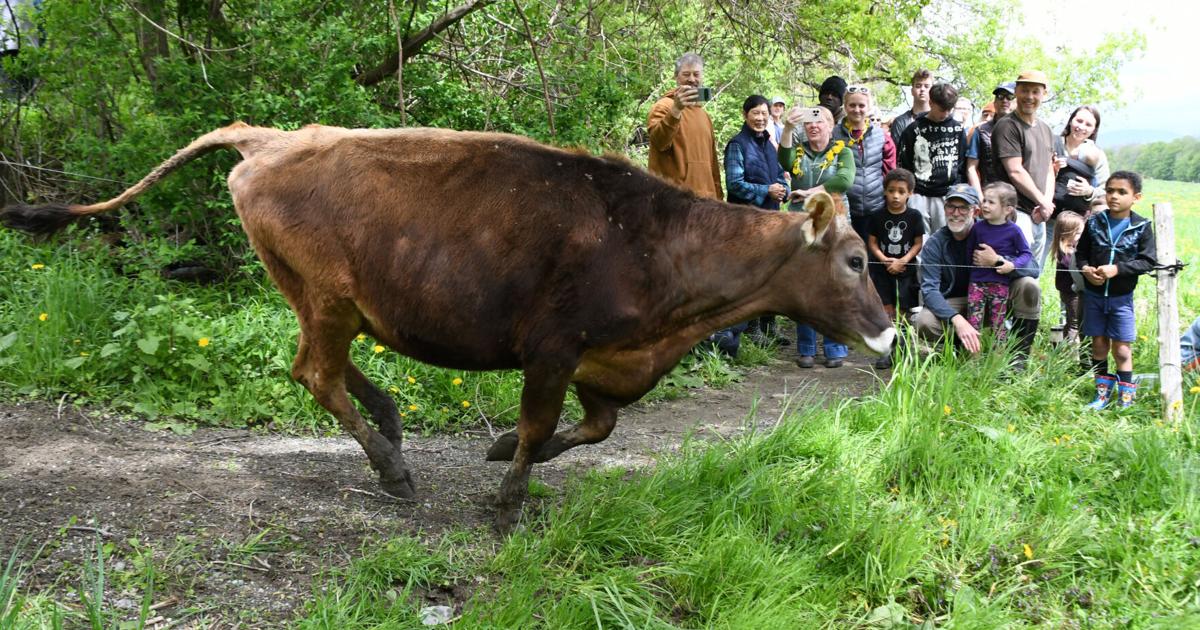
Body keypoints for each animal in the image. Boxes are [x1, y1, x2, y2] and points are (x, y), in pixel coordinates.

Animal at [1, 123, 895, 532]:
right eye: (856, 259)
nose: (889, 338)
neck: (650, 241)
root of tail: (272, 137)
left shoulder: (607, 363)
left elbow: (593, 429)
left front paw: (498, 455)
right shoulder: (553, 349)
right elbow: (539, 426)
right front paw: (507, 494)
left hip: (316, 294)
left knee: (320, 367)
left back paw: (391, 422)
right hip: (327, 295)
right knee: (315, 371)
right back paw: (392, 466)